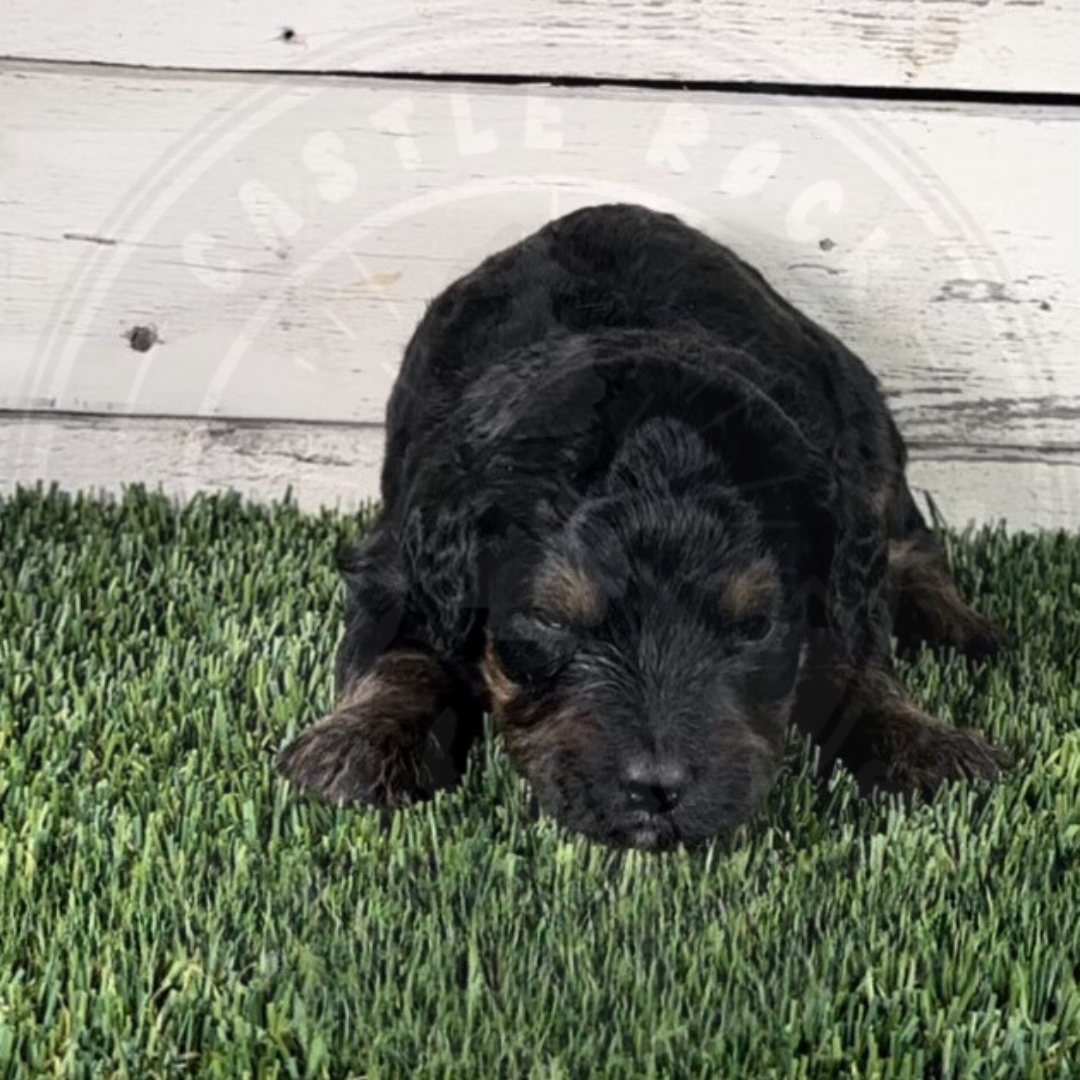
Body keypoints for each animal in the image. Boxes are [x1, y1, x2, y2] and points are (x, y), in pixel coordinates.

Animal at [276, 203, 1002, 851]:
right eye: (551, 620)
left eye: (756, 625)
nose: (657, 790)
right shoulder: (400, 557)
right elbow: (402, 653)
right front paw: (356, 747)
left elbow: (853, 654)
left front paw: (922, 746)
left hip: (859, 410)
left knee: (903, 538)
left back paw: (960, 628)